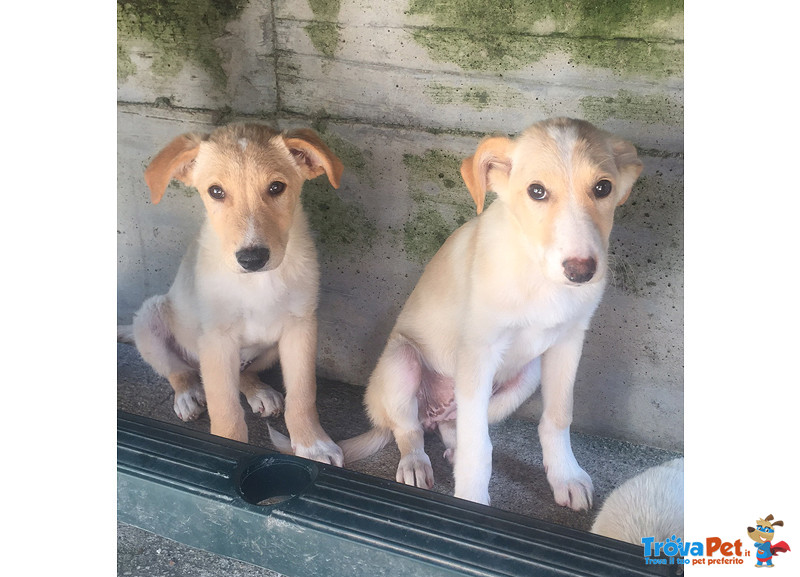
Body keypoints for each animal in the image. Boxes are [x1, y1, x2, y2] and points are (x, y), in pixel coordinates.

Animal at [117, 124, 342, 466]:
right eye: (216, 192)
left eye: (276, 187)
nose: (252, 258)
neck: (258, 282)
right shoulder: (216, 339)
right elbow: (225, 409)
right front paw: (226, 454)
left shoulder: (301, 326)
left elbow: (303, 393)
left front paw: (313, 445)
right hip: (150, 319)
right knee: (180, 372)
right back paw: (188, 395)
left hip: (269, 349)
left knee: (244, 373)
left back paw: (258, 391)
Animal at [340, 119, 640, 506]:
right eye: (537, 191)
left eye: (603, 188)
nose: (581, 272)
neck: (538, 276)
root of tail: (432, 411)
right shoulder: (478, 352)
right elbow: (478, 448)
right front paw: (471, 500)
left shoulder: (568, 342)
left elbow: (558, 416)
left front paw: (565, 475)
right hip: (401, 363)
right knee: (408, 430)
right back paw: (415, 463)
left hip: (526, 378)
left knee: (451, 425)